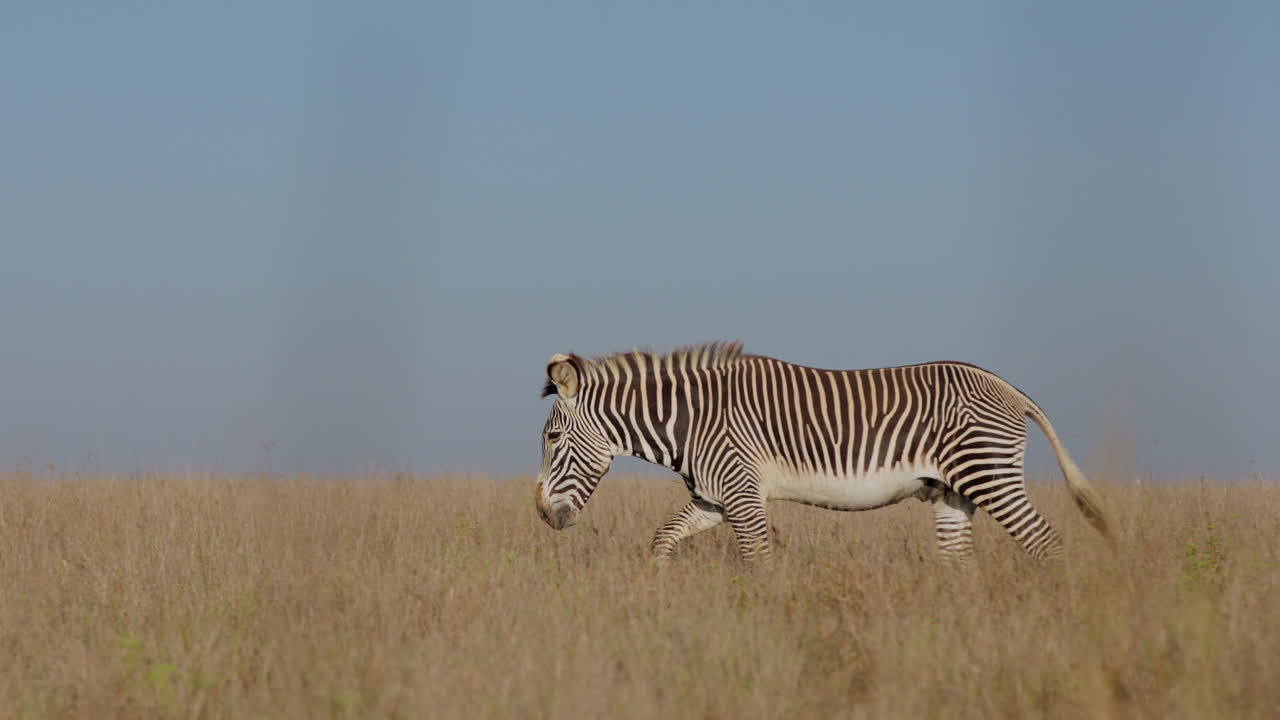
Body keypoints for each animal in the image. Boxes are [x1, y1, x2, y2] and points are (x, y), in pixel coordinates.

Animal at [534, 342, 1110, 563]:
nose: (541, 516)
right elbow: (662, 538)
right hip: (953, 493)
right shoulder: (714, 499)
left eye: (552, 439)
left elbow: (758, 562)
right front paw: (659, 593)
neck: (692, 422)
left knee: (1046, 544)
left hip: (990, 474)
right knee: (960, 562)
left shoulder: (743, 496)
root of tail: (1009, 388)